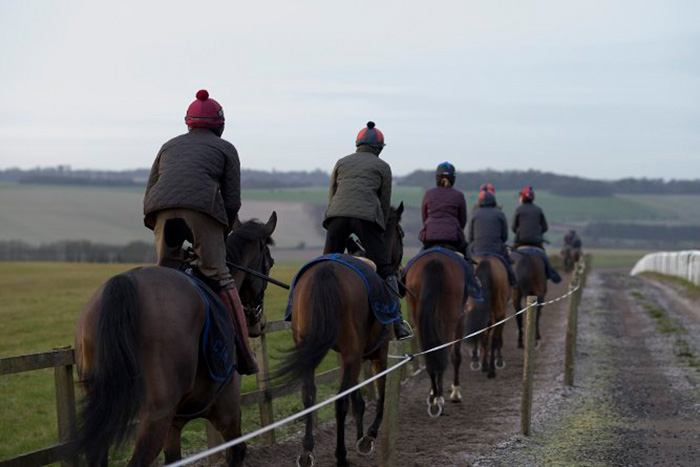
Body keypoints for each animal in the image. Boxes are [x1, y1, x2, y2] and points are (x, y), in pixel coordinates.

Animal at [73, 214, 276, 466]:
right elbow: (237, 451)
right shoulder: (227, 412)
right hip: (156, 415)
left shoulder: (175, 423)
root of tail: (124, 283)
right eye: (270, 262)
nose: (260, 322)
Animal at [274, 204, 404, 467]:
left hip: (313, 351)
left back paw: (307, 451)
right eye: (402, 234)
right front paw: (368, 436)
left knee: (309, 396)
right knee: (339, 401)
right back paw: (341, 455)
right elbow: (381, 394)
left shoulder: (350, 357)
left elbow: (358, 400)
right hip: (355, 352)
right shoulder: (380, 353)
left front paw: (360, 436)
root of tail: (327, 271)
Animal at [402, 250, 468, 418]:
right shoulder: (461, 320)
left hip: (418, 320)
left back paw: (434, 398)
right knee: (444, 352)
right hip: (451, 319)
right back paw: (439, 398)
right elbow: (455, 356)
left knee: (430, 354)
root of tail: (435, 262)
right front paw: (455, 392)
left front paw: (432, 393)